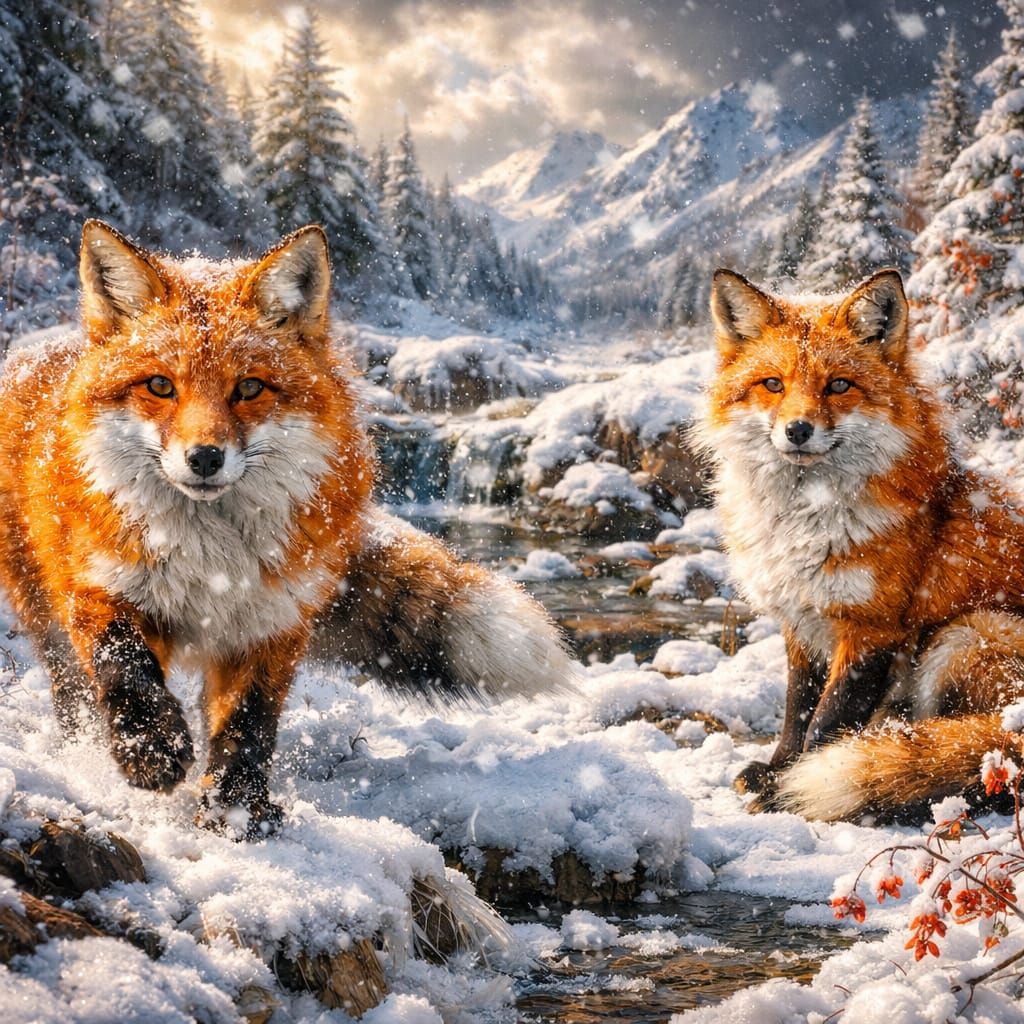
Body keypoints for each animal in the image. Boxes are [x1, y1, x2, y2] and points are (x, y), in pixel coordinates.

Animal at [0, 220, 573, 838]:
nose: (205, 458)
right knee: (75, 692)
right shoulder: (97, 584)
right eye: (160, 386)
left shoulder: (273, 619)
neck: (209, 559)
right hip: (43, 610)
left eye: (249, 388)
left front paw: (236, 811)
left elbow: (248, 725)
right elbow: (125, 667)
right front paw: (150, 750)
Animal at [698, 266, 1024, 822]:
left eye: (838, 385)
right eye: (772, 384)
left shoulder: (872, 628)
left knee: (980, 761)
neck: (804, 527)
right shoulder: (801, 622)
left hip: (966, 635)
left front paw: (788, 790)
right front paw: (777, 769)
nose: (798, 430)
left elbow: (827, 722)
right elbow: (796, 709)